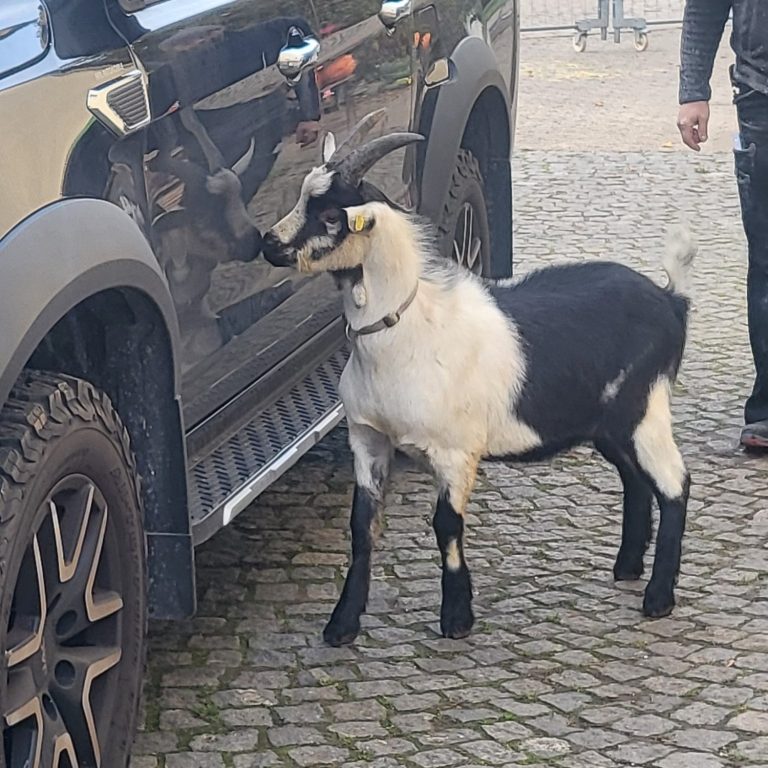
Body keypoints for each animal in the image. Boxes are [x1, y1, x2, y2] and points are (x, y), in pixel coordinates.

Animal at [262, 125, 695, 647]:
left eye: (330, 216)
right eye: (302, 195)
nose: (268, 244)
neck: (406, 326)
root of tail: (670, 299)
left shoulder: (455, 452)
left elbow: (446, 525)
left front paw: (456, 617)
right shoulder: (367, 439)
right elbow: (362, 526)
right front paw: (342, 624)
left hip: (645, 408)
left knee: (673, 483)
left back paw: (658, 597)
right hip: (608, 423)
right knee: (635, 478)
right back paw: (627, 567)